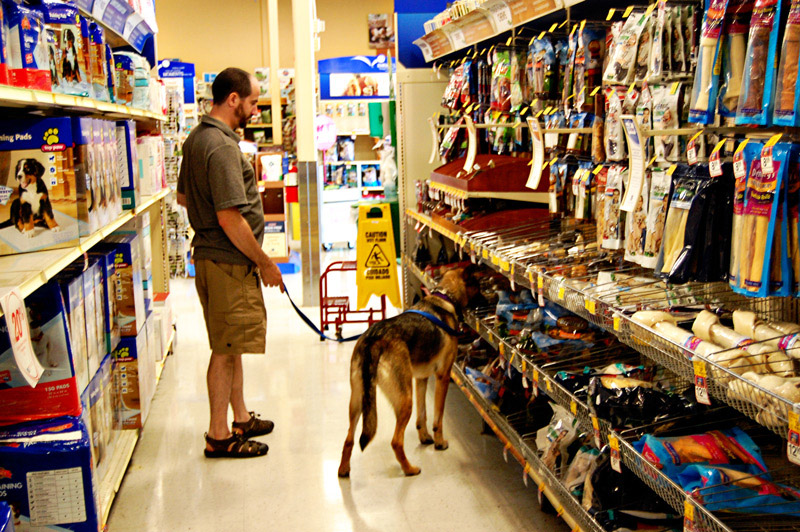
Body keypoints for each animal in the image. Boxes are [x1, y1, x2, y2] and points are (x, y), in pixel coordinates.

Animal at [338, 268, 468, 476]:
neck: (444, 296)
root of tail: (375, 339)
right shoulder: (443, 376)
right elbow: (437, 419)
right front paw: (439, 443)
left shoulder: (421, 378)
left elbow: (422, 416)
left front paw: (425, 437)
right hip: (405, 400)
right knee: (396, 442)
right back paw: (409, 469)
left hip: (357, 401)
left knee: (349, 439)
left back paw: (343, 470)